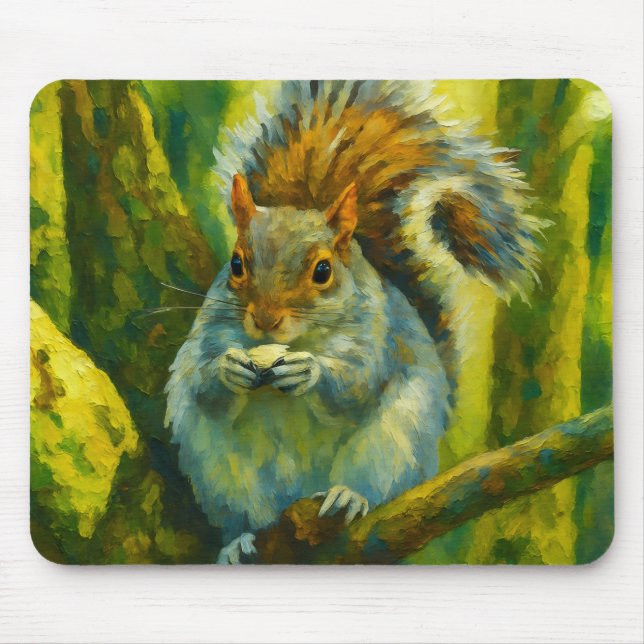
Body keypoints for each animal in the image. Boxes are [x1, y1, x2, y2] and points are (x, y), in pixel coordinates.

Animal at [164, 81, 543, 564]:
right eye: (236, 264)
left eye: (323, 271)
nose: (265, 321)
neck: (303, 338)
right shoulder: (209, 331)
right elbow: (203, 383)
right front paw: (228, 369)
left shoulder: (378, 335)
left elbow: (357, 383)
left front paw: (310, 371)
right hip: (222, 475)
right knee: (243, 513)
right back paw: (239, 541)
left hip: (393, 446)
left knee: (374, 484)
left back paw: (348, 497)